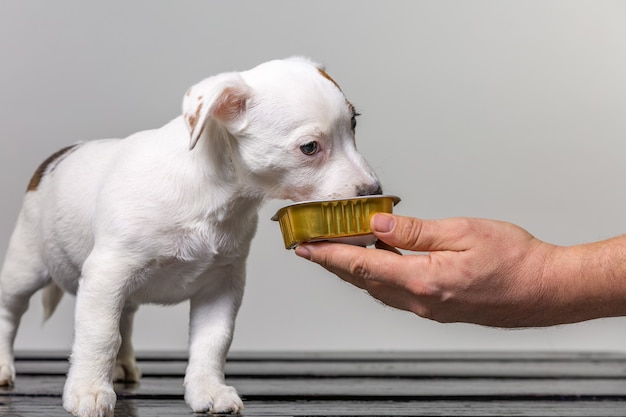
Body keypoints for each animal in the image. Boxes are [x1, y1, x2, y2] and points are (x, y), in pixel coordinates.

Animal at [0, 57, 380, 416]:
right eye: (310, 147)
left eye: (354, 124)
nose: (373, 191)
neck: (215, 191)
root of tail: (53, 160)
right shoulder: (107, 274)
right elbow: (100, 334)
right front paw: (89, 391)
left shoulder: (221, 286)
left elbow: (212, 342)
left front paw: (208, 390)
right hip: (26, 266)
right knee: (10, 311)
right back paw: (4, 365)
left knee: (124, 318)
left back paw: (122, 365)